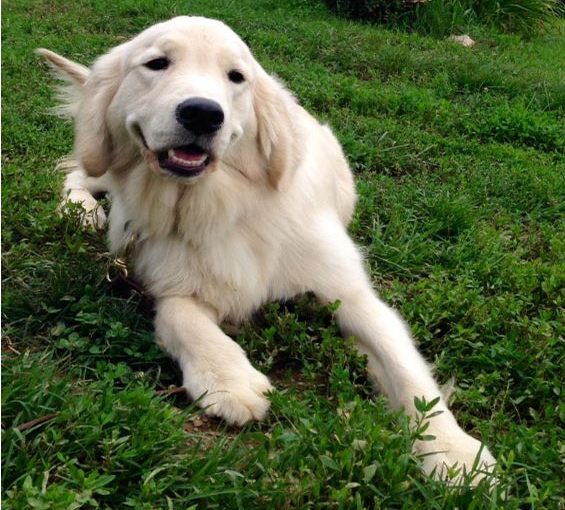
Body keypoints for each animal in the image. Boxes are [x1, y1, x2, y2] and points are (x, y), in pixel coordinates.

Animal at [38, 15, 494, 482]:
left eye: (236, 77)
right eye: (157, 63)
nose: (202, 113)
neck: (221, 206)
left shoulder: (352, 295)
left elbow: (407, 370)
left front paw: (454, 452)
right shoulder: (171, 281)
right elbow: (185, 319)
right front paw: (230, 380)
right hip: (106, 169)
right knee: (79, 169)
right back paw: (80, 209)